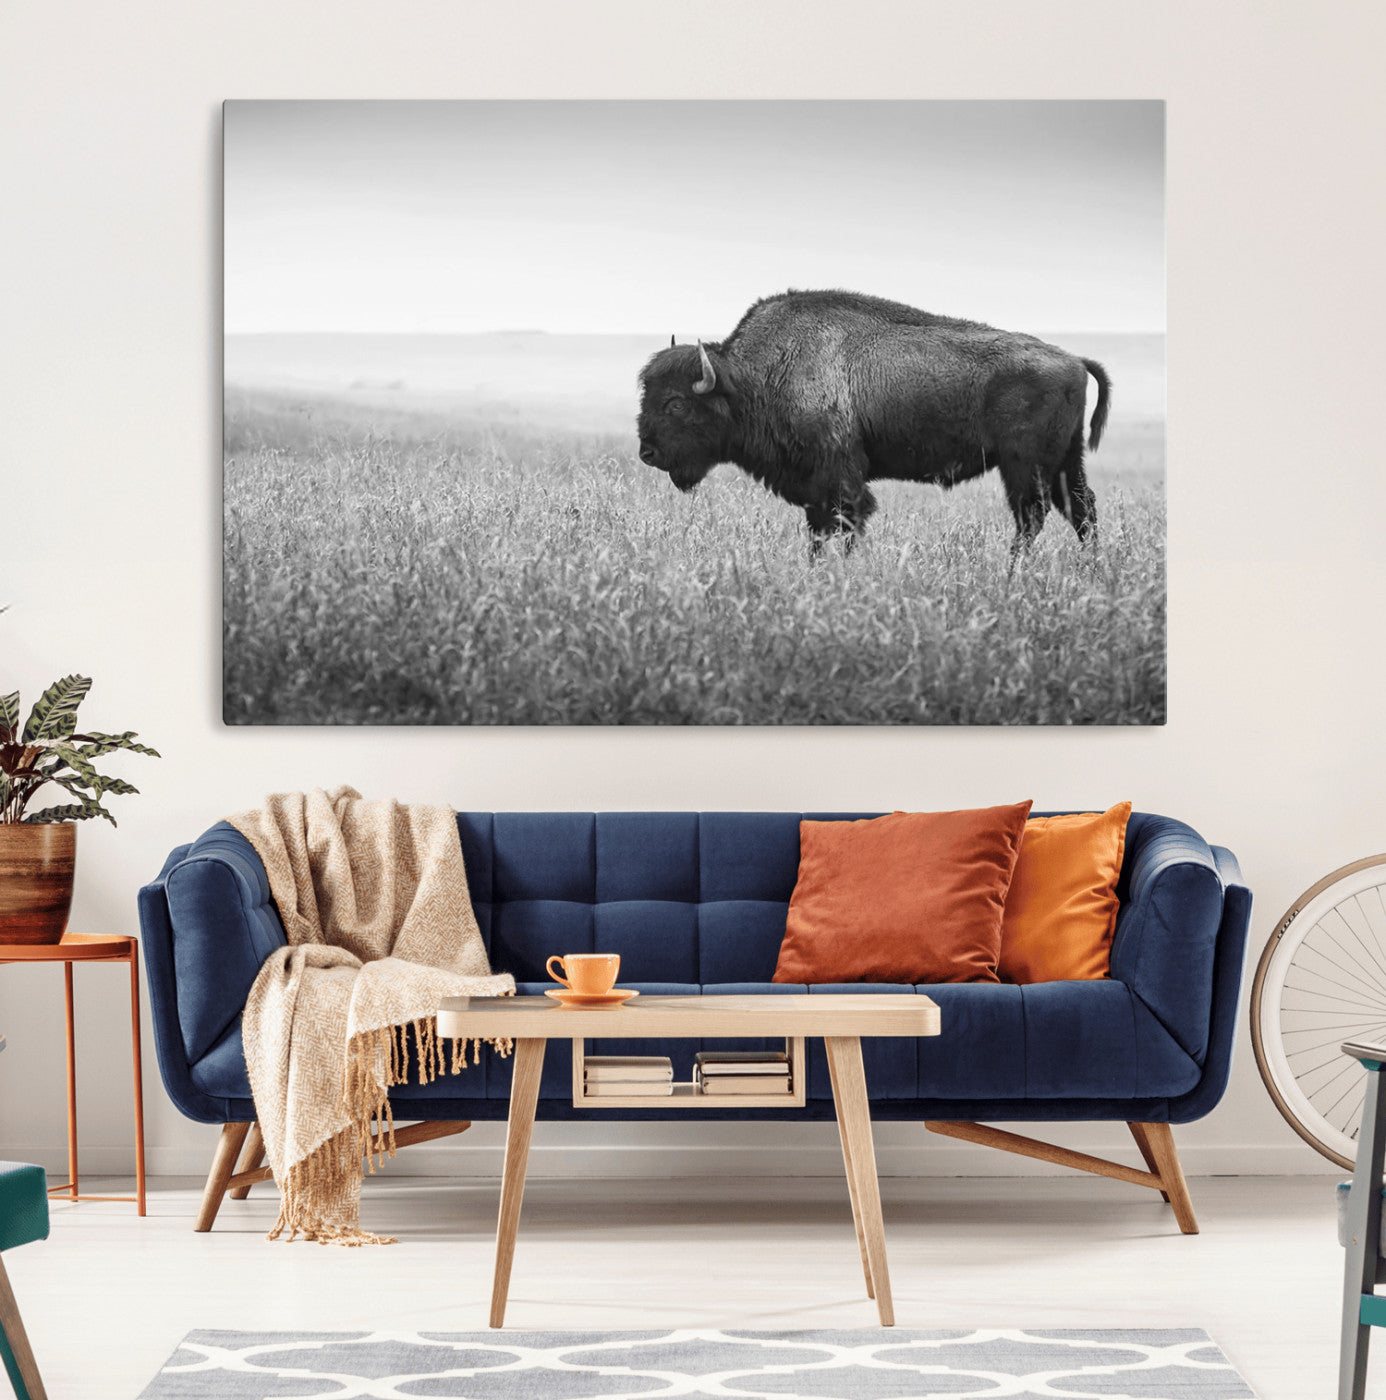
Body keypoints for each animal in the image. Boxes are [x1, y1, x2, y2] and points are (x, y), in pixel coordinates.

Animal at [637, 289, 1110, 555]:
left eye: (676, 403)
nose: (647, 453)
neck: (753, 378)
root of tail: (1073, 360)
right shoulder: (815, 490)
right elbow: (818, 533)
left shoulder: (840, 480)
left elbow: (846, 524)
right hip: (1065, 462)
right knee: (1082, 511)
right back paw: (1090, 571)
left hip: (1024, 466)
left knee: (1033, 517)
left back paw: (1013, 573)